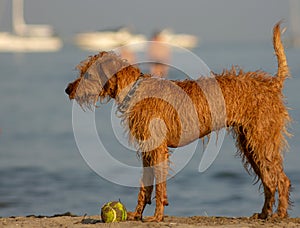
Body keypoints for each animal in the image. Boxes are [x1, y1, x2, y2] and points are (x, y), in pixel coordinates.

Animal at [65, 22, 290, 221]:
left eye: (88, 74)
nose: (68, 89)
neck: (135, 90)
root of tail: (271, 83)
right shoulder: (147, 150)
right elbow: (145, 184)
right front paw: (137, 214)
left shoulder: (158, 149)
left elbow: (159, 186)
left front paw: (157, 216)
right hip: (250, 145)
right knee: (269, 181)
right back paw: (264, 214)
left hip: (261, 143)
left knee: (281, 180)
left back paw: (279, 214)